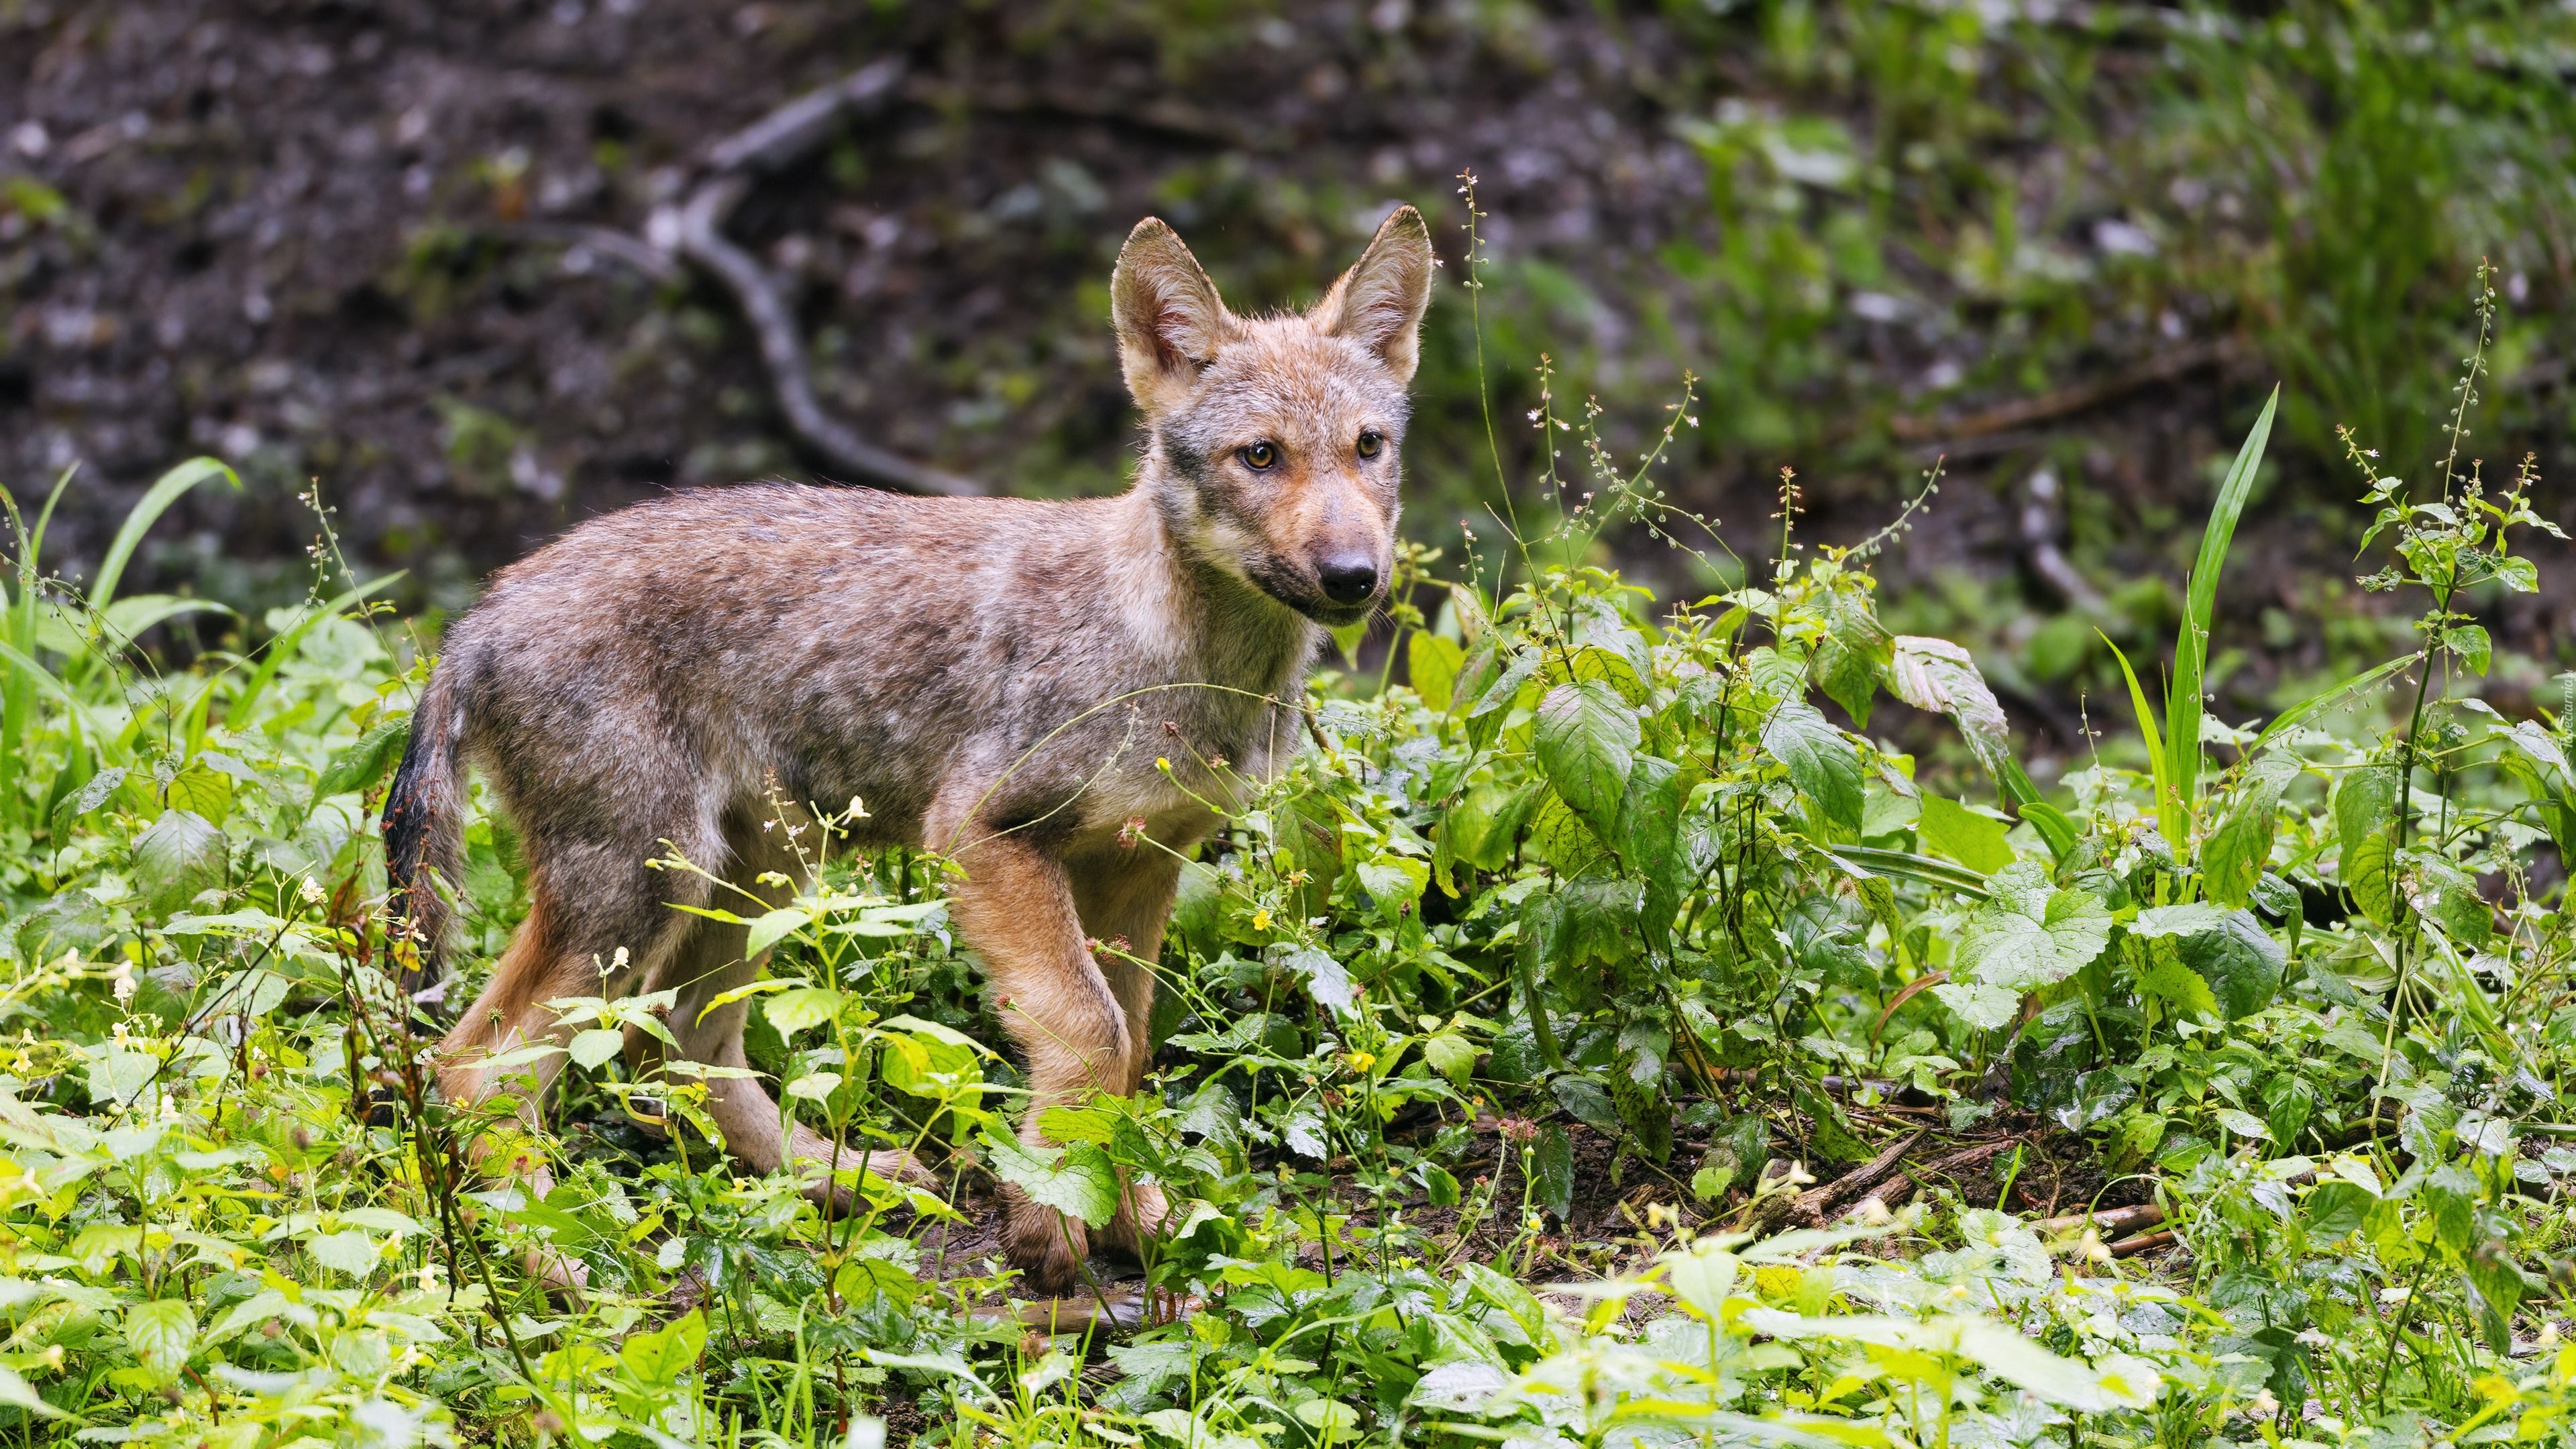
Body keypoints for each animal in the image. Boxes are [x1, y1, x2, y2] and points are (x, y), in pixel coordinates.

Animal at [378, 203, 1432, 1284]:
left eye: (1368, 447)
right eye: (1261, 456)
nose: (1355, 577)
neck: (1180, 657)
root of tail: (477, 618)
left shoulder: (1140, 863)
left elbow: (1130, 1049)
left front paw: (1130, 1215)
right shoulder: (981, 835)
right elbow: (1089, 1032)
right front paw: (1051, 1225)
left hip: (748, 880)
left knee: (673, 1047)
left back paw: (832, 1181)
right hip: (642, 888)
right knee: (474, 1068)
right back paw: (552, 1258)